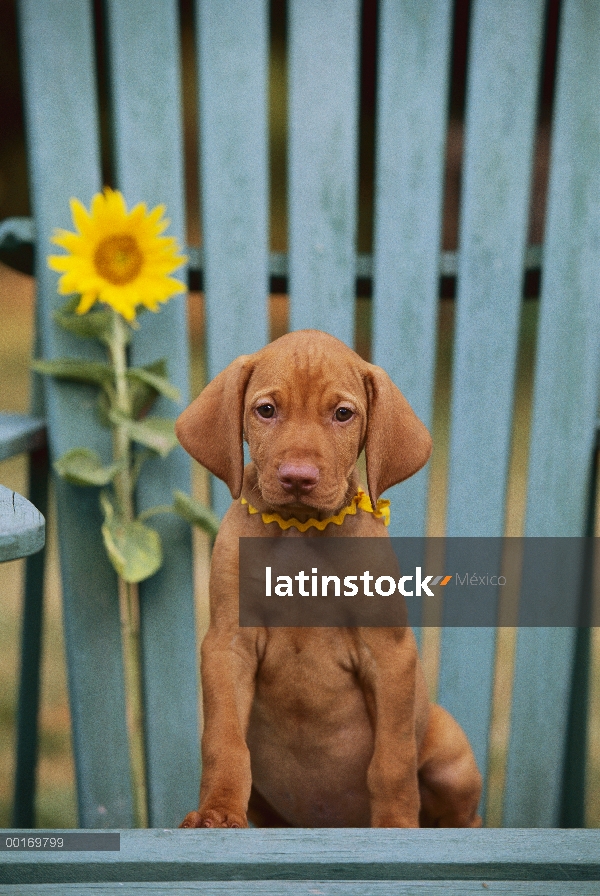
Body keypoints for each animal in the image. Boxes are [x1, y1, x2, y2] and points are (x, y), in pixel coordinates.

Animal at [175, 332, 482, 828]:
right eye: (266, 410)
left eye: (342, 414)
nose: (298, 478)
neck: (301, 533)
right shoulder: (227, 644)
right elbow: (224, 741)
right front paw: (217, 811)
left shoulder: (389, 653)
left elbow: (392, 761)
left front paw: (396, 826)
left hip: (449, 749)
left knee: (460, 812)